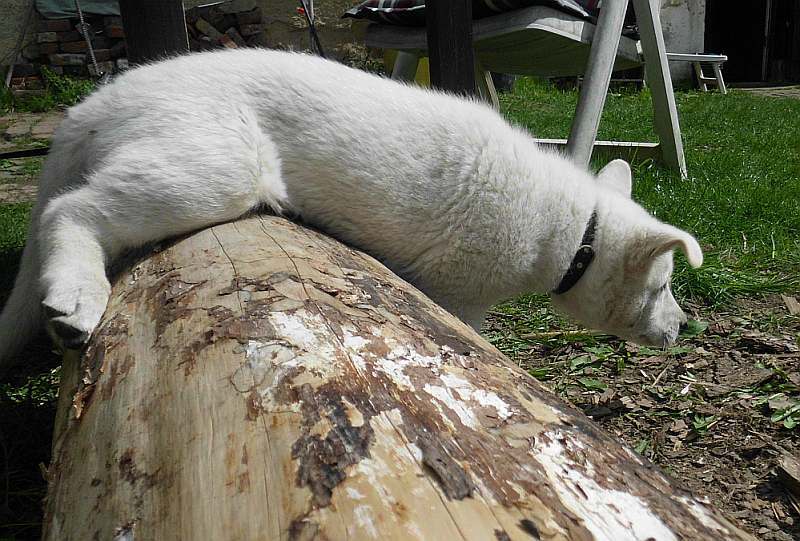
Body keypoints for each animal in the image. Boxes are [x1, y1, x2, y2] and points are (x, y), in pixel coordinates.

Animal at [0, 49, 700, 372]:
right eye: (663, 285)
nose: (683, 328)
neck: (574, 229)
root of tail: (87, 110)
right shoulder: (458, 292)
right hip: (216, 164)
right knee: (68, 210)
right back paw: (76, 298)